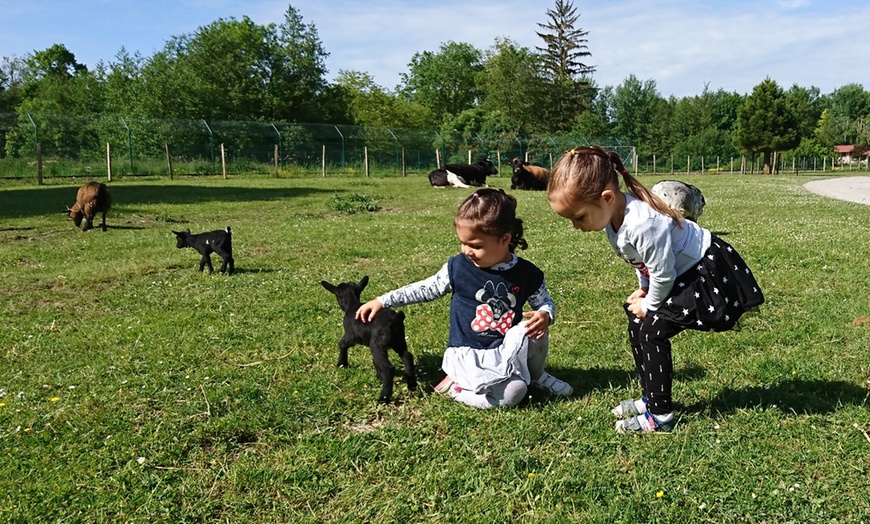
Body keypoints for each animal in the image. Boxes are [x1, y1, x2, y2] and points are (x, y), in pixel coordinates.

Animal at [320, 276, 418, 404]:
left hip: (377, 344)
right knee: (407, 356)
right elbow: (375, 361)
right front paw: (379, 376)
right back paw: (412, 384)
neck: (352, 304)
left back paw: (383, 398)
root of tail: (395, 319)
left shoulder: (351, 336)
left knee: (388, 368)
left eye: (337, 296)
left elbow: (342, 344)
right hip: (398, 341)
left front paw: (342, 363)